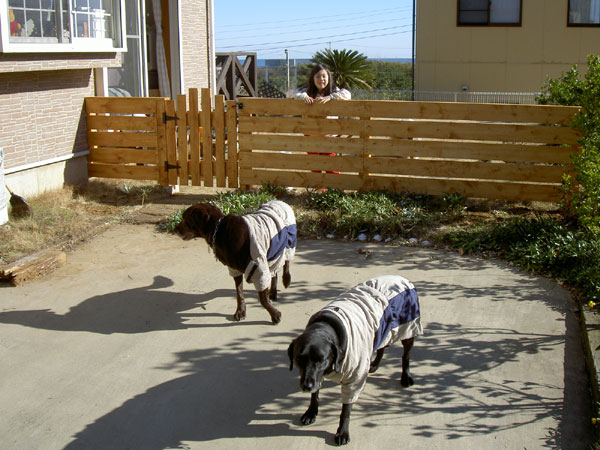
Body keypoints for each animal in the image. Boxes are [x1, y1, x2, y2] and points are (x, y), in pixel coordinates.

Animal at [287, 275, 423, 445]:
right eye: (299, 358)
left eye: (321, 359)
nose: (306, 386)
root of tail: (400, 277)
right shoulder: (317, 376)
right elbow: (315, 394)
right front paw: (311, 412)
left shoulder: (354, 379)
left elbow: (346, 409)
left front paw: (342, 432)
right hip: (383, 329)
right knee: (382, 346)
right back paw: (375, 364)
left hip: (408, 327)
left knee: (406, 356)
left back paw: (406, 377)